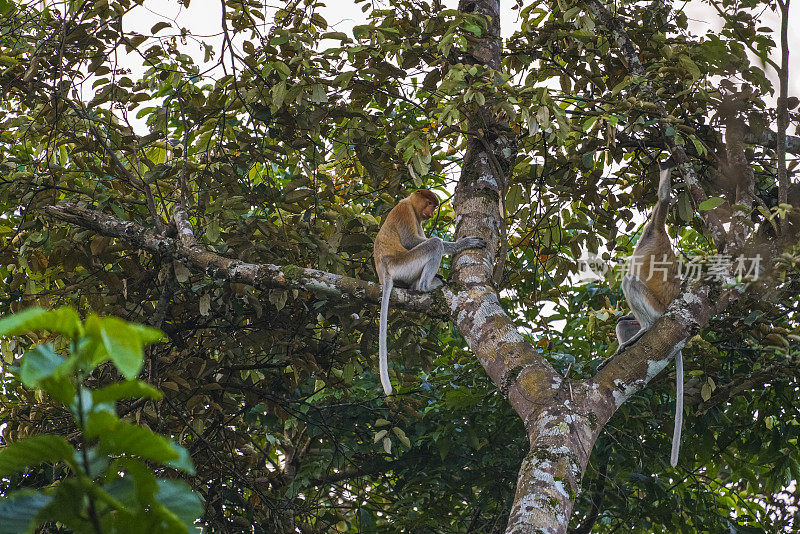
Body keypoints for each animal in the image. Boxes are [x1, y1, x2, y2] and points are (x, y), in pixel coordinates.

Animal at [372, 191, 484, 396]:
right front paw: (462, 243)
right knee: (433, 244)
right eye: (431, 203)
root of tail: (384, 272)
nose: (431, 213)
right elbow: (411, 241)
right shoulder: (405, 211)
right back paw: (425, 286)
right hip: (403, 264)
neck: (410, 203)